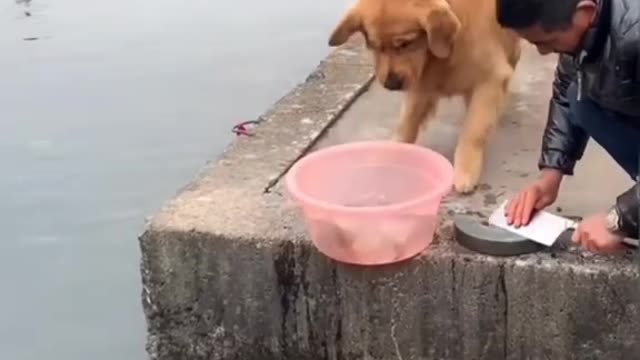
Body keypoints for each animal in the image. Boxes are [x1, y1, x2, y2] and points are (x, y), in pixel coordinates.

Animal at [330, 0, 520, 193]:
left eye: (405, 43)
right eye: (374, 46)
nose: (391, 84)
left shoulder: (491, 78)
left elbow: (473, 131)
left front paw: (466, 169)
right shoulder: (421, 82)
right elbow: (407, 123)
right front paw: (395, 153)